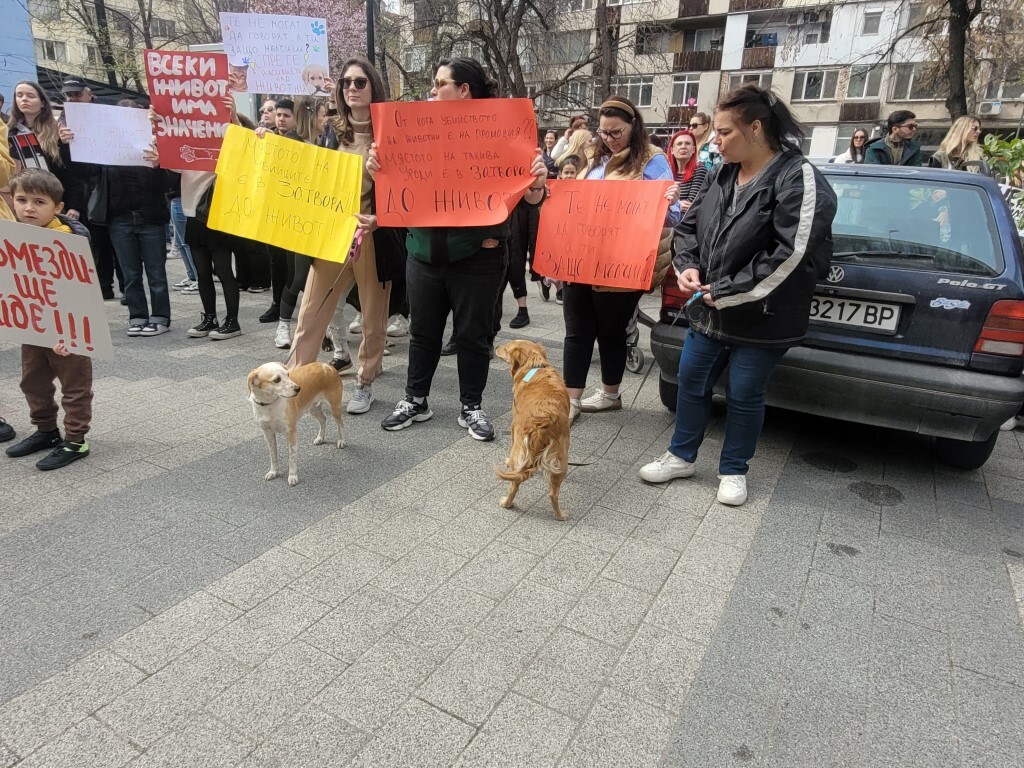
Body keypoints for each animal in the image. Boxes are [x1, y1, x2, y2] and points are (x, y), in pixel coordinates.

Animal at [493, 342, 569, 524]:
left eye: (506, 348)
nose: (495, 345)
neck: (535, 366)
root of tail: (544, 421)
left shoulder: (514, 426)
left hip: (520, 448)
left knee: (514, 483)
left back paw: (506, 503)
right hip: (561, 458)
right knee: (553, 493)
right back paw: (560, 515)